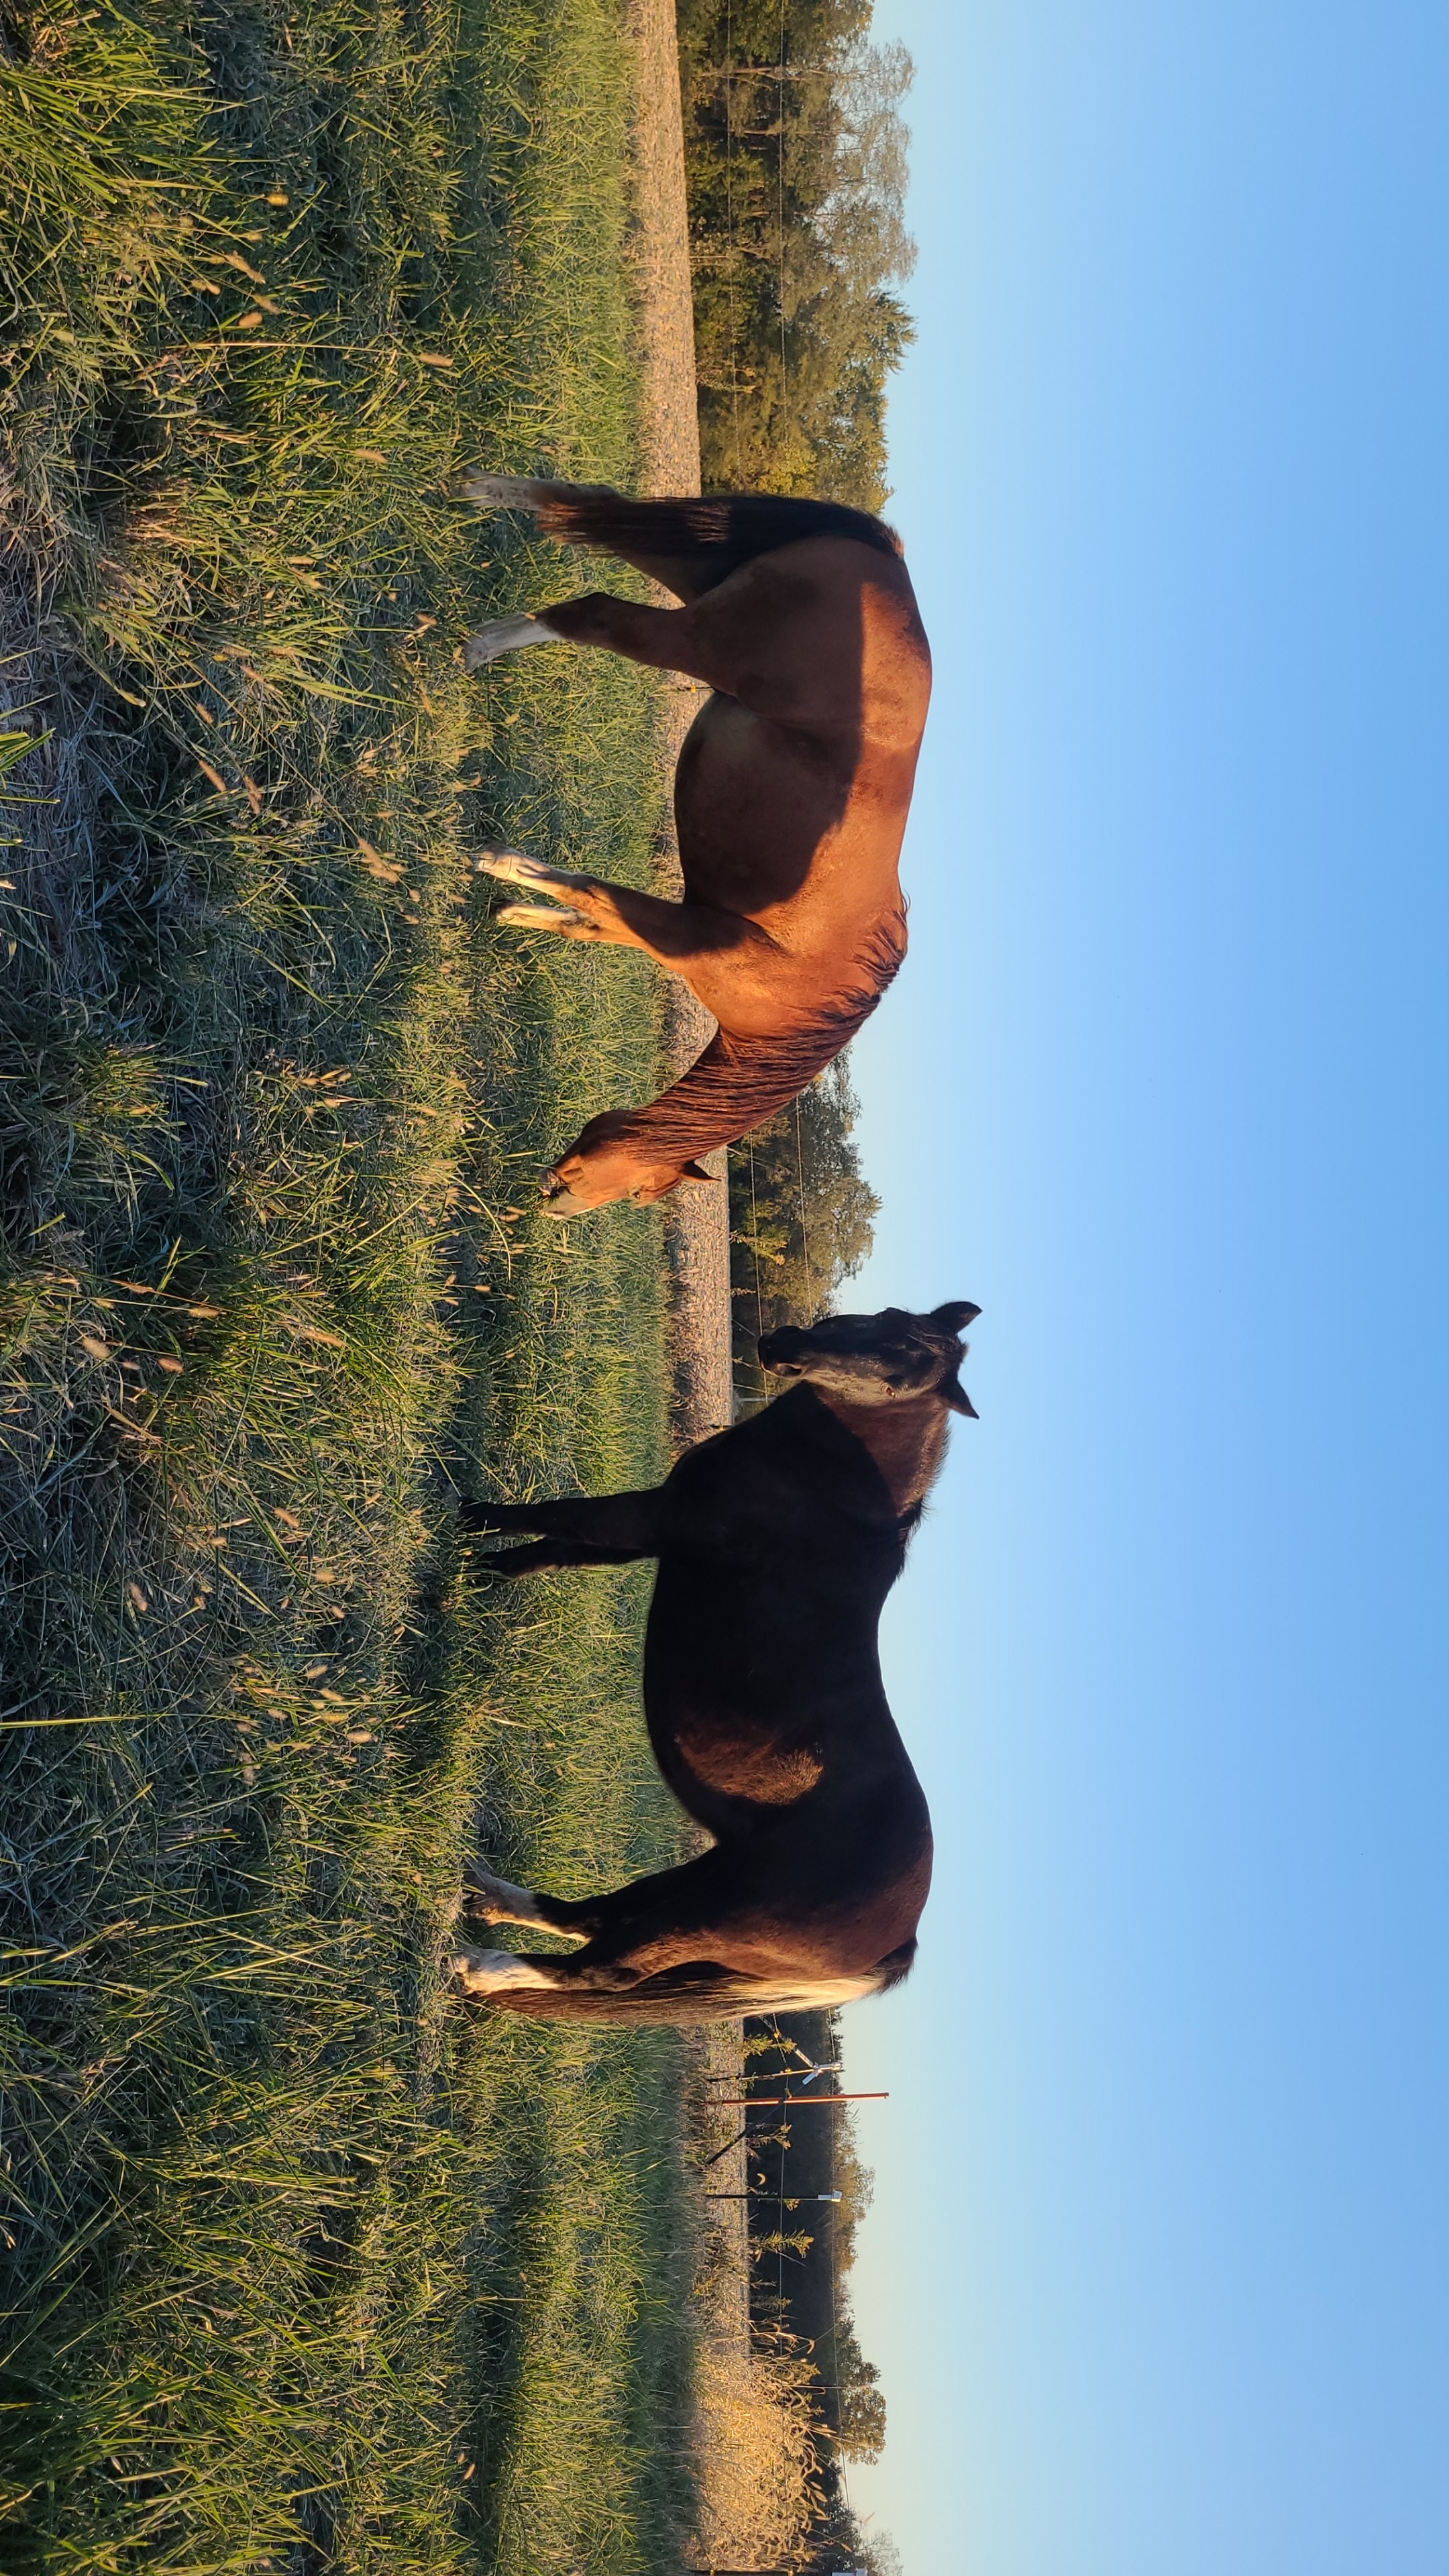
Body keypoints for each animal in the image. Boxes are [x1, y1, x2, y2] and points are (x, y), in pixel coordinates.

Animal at [450, 1300, 979, 2023]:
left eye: (903, 1373)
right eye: (886, 1317)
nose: (785, 1344)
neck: (835, 1491)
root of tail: (900, 1943)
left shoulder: (649, 1518)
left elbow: (554, 1519)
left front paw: (461, 1530)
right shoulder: (642, 1536)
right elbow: (544, 1551)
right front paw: (474, 1567)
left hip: (709, 1918)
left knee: (608, 1969)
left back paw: (480, 1968)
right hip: (700, 1883)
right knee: (594, 1918)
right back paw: (486, 1894)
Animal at [460, 478, 931, 1215]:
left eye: (637, 1195)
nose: (554, 1202)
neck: (792, 1012)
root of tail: (890, 564)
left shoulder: (665, 932)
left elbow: (585, 917)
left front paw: (510, 910)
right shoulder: (683, 930)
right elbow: (587, 891)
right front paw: (491, 862)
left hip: (695, 574)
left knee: (592, 513)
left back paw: (491, 498)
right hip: (692, 639)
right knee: (595, 614)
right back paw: (478, 644)